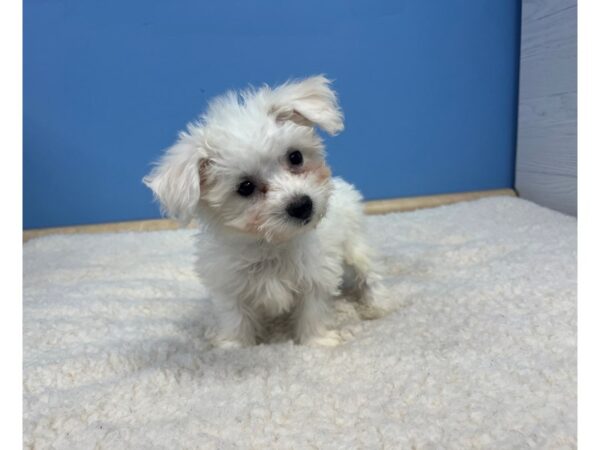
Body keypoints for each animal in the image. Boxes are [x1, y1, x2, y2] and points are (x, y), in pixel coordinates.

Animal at [145, 74, 390, 348]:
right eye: (245, 187)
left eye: (295, 157)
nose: (302, 205)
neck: (270, 245)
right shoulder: (229, 285)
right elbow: (235, 317)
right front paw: (234, 346)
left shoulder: (316, 275)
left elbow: (313, 310)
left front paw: (317, 342)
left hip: (355, 243)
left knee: (369, 271)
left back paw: (378, 304)